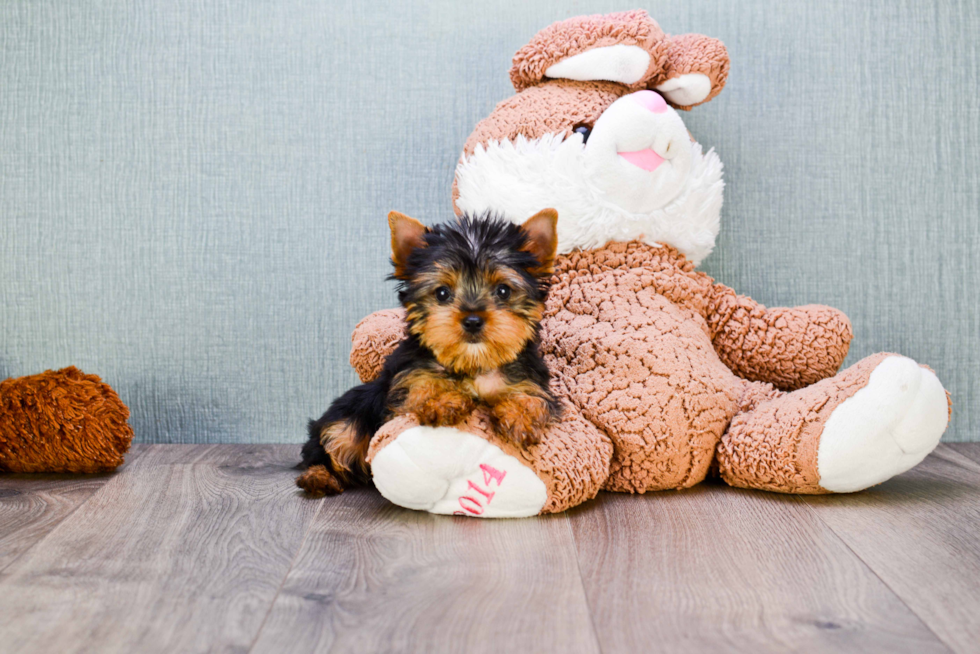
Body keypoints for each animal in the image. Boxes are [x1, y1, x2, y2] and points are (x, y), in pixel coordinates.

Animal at [296, 208, 560, 494]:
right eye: (442, 293)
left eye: (503, 290)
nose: (472, 320)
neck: (473, 362)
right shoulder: (406, 383)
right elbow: (421, 389)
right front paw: (443, 402)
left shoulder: (527, 378)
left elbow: (533, 398)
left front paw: (519, 418)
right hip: (348, 417)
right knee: (330, 444)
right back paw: (318, 477)